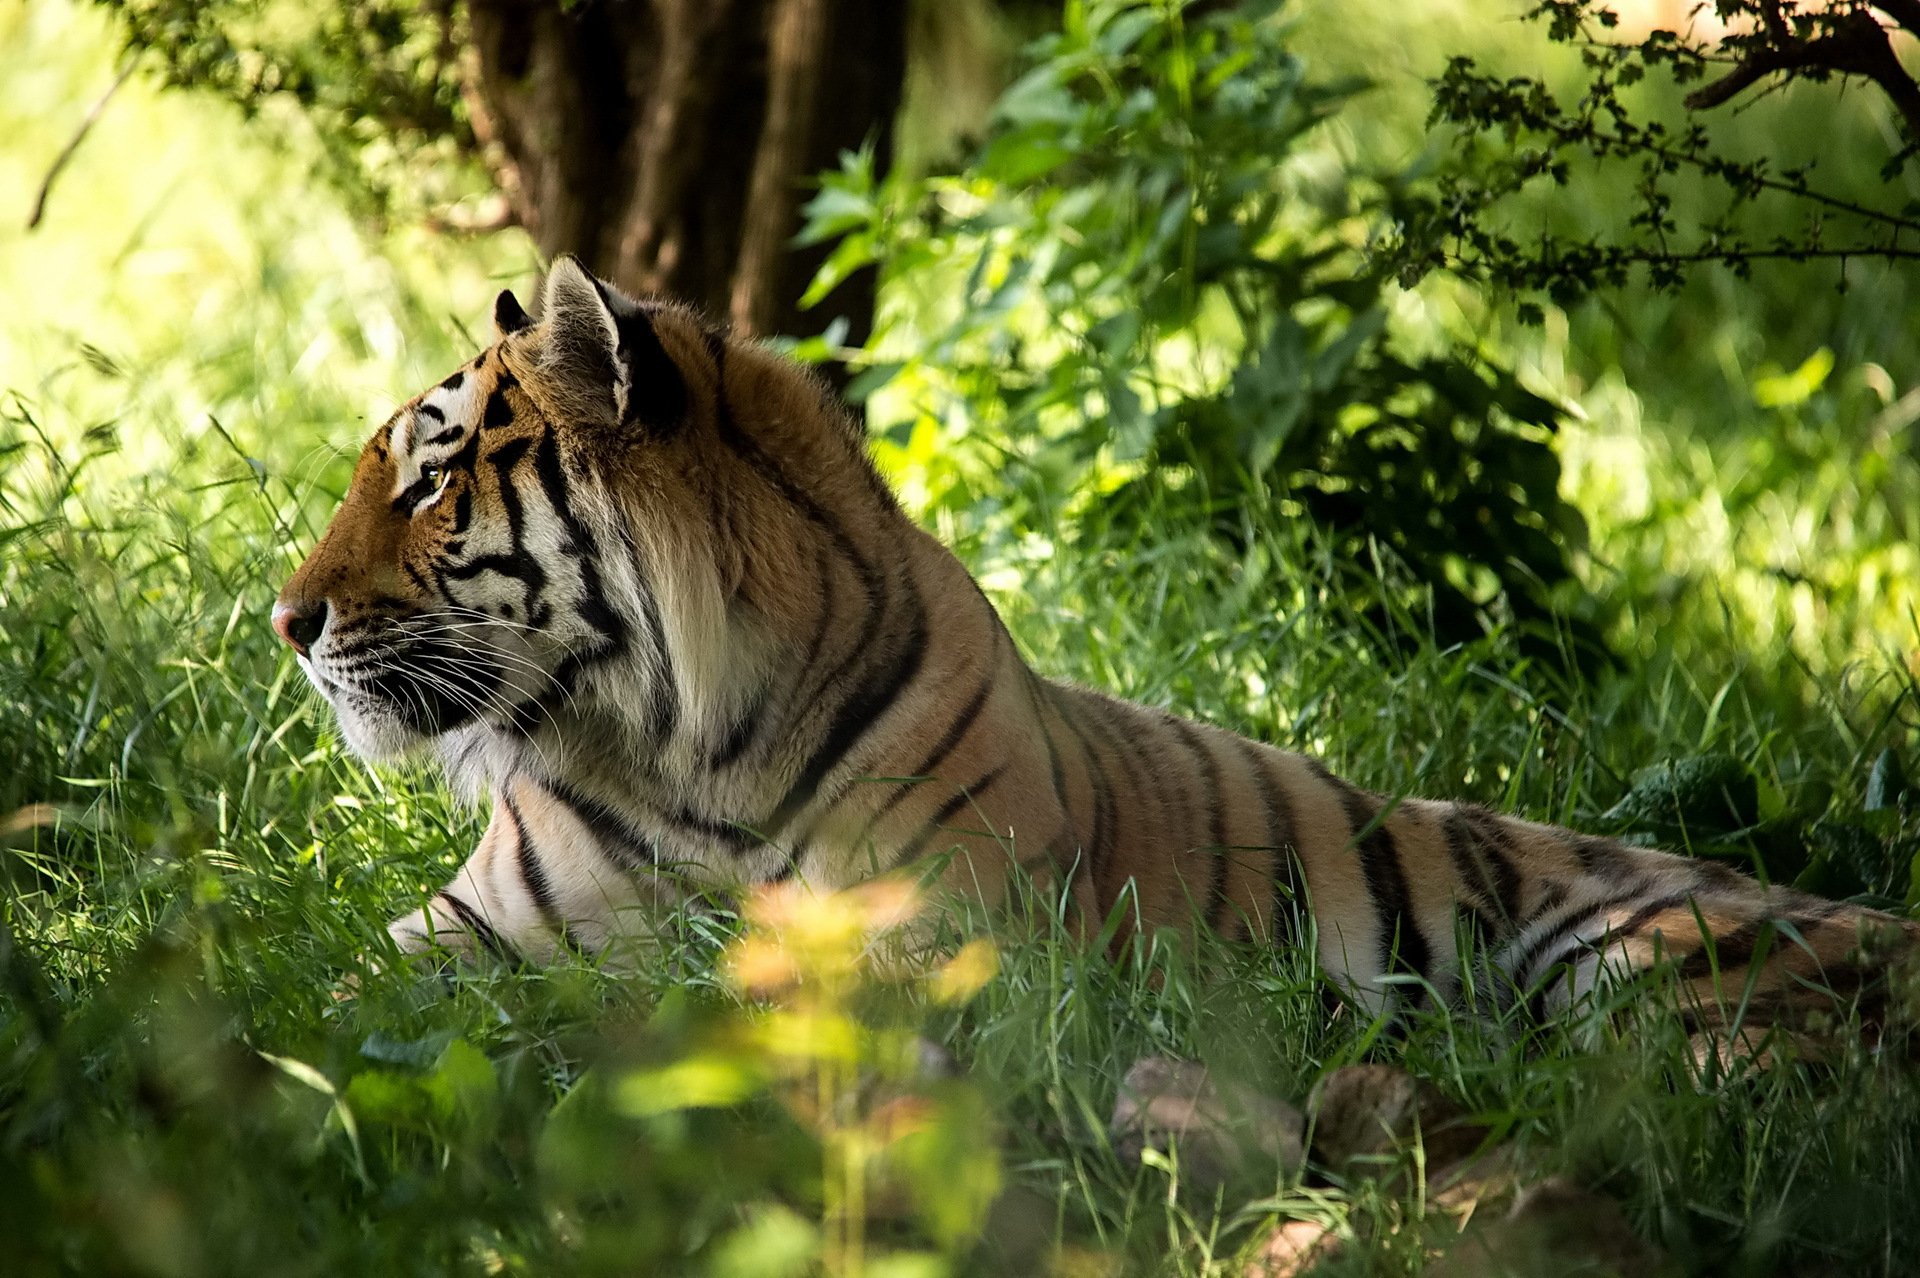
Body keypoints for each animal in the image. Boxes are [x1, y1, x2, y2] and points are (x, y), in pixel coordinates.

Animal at [274, 256, 1915, 1048]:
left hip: (1655, 971)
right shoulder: (459, 937)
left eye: (428, 482)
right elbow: (325, 1009)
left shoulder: (941, 949)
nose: (286, 626)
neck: (681, 753)